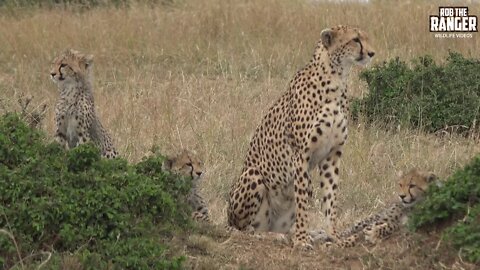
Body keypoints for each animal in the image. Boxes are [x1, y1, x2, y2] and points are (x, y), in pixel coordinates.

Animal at [228, 25, 376, 247]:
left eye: (365, 38)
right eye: (355, 40)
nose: (371, 53)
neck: (336, 78)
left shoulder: (332, 155)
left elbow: (330, 198)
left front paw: (333, 236)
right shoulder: (301, 155)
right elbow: (303, 202)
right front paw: (302, 240)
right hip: (252, 176)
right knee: (245, 229)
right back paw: (275, 236)